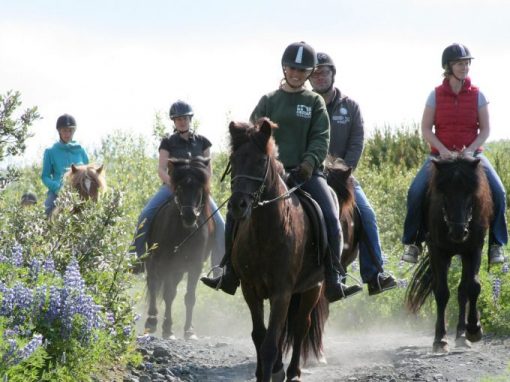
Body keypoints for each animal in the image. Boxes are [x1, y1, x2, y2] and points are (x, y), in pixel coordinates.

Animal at [144, 156, 212, 340]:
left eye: (199, 187)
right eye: (180, 187)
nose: (189, 216)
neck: (185, 231)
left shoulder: (195, 266)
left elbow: (190, 297)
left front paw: (189, 330)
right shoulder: (168, 263)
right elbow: (168, 295)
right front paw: (168, 328)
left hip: (179, 270)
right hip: (153, 262)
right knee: (153, 284)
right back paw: (151, 321)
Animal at [227, 119, 326, 382]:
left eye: (261, 161)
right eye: (233, 159)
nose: (237, 205)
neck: (265, 232)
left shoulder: (282, 291)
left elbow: (271, 343)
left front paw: (273, 371)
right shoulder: (251, 289)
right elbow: (260, 337)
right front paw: (263, 373)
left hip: (312, 287)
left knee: (301, 326)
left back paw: (292, 372)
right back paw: (279, 369)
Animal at [404, 156, 492, 352]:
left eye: (470, 192)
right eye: (444, 193)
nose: (458, 232)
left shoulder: (474, 249)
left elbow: (473, 286)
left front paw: (474, 329)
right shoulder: (438, 251)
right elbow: (442, 292)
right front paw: (440, 339)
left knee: (463, 290)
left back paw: (462, 335)